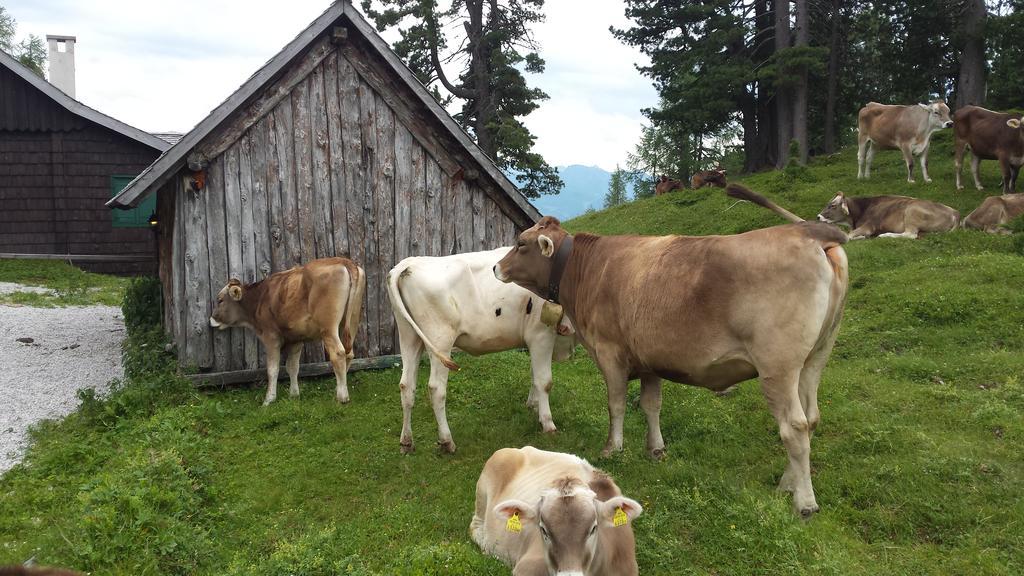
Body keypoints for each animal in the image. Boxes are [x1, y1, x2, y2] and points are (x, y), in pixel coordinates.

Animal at [209, 255, 366, 403]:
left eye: (220, 300)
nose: (211, 319)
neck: (261, 298)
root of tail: (344, 261)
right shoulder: (296, 339)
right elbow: (293, 367)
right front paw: (294, 395)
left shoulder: (271, 337)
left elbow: (273, 369)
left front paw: (269, 399)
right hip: (352, 320)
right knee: (349, 353)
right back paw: (339, 388)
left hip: (328, 328)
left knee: (338, 353)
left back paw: (342, 396)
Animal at [385, 247, 577, 453]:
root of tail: (408, 263)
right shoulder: (541, 335)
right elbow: (544, 381)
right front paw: (548, 423)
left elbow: (534, 376)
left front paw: (533, 406)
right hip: (440, 339)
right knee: (436, 388)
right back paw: (446, 441)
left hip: (409, 336)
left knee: (406, 385)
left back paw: (406, 442)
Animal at [495, 211, 847, 516]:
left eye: (521, 243)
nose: (497, 267)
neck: (586, 270)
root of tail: (807, 232)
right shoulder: (650, 360)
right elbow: (652, 405)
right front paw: (656, 449)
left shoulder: (609, 351)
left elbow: (616, 404)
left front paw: (612, 448)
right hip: (815, 358)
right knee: (811, 418)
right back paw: (788, 484)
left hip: (779, 367)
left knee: (794, 426)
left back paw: (804, 502)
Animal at [806, 190, 958, 237]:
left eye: (832, 205)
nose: (818, 216)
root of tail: (955, 211)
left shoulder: (868, 226)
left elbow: (849, 235)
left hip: (911, 211)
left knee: (910, 234)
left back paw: (886, 235)